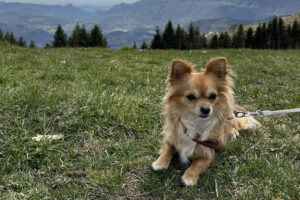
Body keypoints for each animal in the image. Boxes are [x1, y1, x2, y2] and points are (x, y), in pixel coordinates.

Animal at [151, 57, 258, 186]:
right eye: (190, 96)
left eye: (213, 96)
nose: (206, 109)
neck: (195, 121)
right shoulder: (170, 137)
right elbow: (166, 150)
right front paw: (160, 163)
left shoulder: (208, 154)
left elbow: (197, 164)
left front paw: (189, 177)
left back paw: (233, 132)